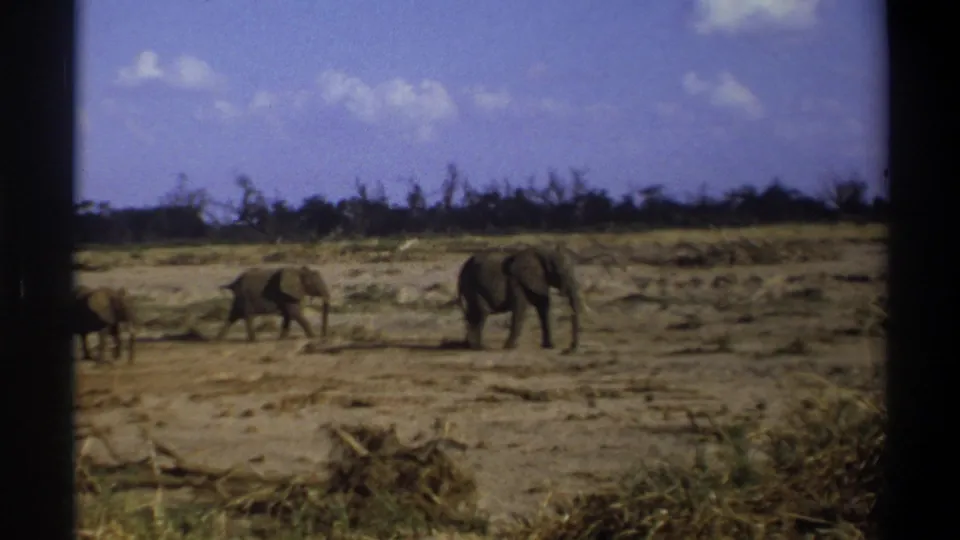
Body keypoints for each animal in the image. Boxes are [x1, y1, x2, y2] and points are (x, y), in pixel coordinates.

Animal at [456, 246, 585, 352]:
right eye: (560, 273)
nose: (569, 348)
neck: (543, 253)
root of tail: (461, 271)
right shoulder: (516, 282)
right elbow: (520, 309)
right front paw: (509, 347)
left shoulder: (539, 280)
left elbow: (543, 307)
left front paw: (549, 346)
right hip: (473, 286)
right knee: (481, 312)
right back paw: (478, 347)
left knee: (473, 313)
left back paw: (469, 346)